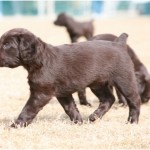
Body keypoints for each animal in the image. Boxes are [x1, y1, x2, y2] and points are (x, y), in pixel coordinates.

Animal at [0, 27, 141, 126]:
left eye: (7, 45)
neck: (40, 59)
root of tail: (118, 44)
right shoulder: (63, 93)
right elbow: (70, 108)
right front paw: (78, 122)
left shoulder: (41, 93)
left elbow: (28, 109)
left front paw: (15, 125)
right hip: (98, 84)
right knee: (109, 98)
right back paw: (94, 116)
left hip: (124, 79)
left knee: (134, 100)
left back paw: (132, 121)